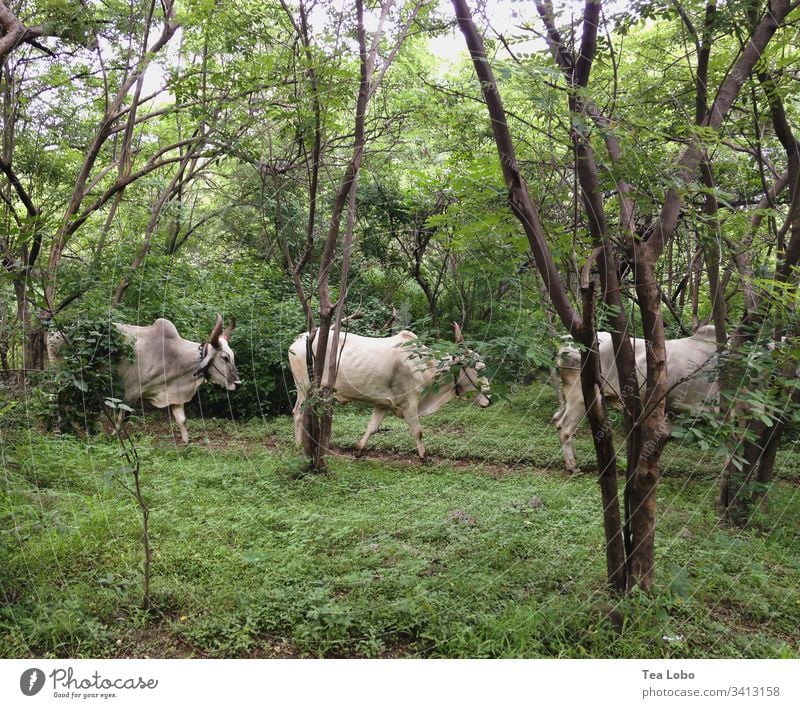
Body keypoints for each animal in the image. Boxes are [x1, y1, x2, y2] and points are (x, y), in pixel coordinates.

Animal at [284, 324, 490, 462]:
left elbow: (372, 427)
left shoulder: (382, 404)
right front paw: (424, 457)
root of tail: (299, 339)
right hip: (305, 386)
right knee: (298, 413)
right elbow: (418, 432)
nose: (489, 400)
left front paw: (358, 450)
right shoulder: (410, 403)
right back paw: (299, 445)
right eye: (478, 369)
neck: (426, 365)